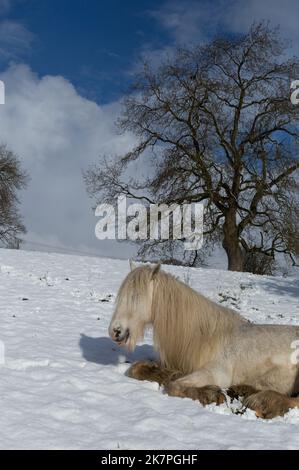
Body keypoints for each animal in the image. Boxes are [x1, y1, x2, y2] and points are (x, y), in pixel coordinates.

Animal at [109, 262, 299, 420]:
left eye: (136, 297)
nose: (115, 331)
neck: (205, 337)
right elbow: (136, 368)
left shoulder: (212, 373)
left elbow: (173, 386)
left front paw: (211, 394)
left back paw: (262, 402)